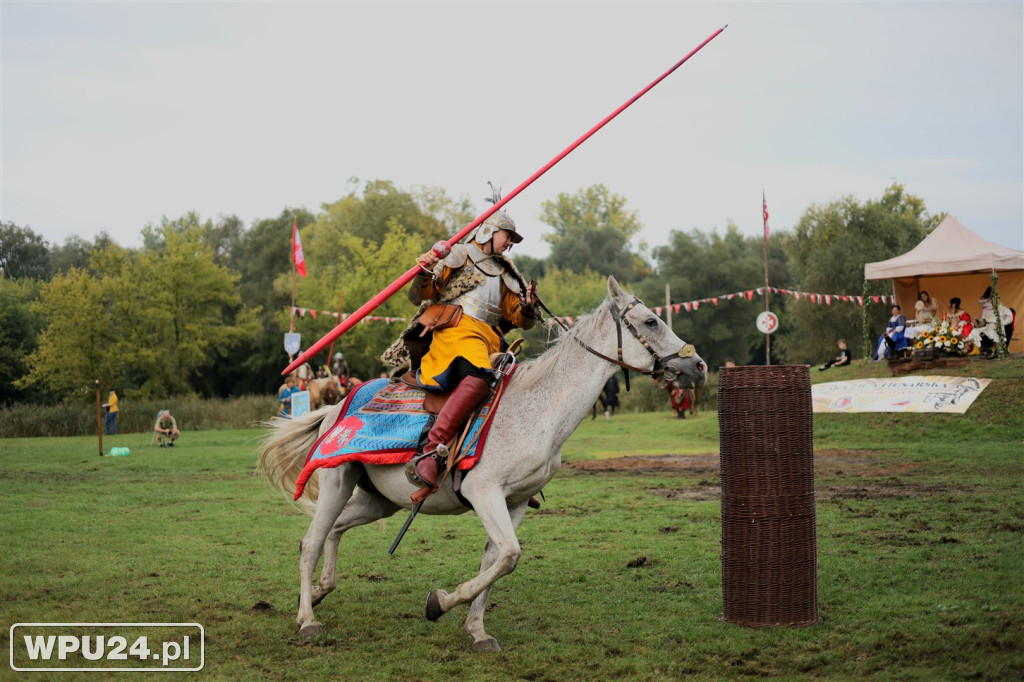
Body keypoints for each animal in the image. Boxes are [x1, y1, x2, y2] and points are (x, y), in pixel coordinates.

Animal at [258, 274, 704, 647]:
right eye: (650, 322)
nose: (697, 366)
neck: (538, 410)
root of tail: (335, 407)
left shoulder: (515, 502)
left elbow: (496, 560)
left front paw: (476, 630)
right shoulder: (483, 491)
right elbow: (508, 555)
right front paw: (439, 602)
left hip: (378, 500)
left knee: (335, 531)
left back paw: (321, 590)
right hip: (337, 481)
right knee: (311, 542)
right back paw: (307, 618)